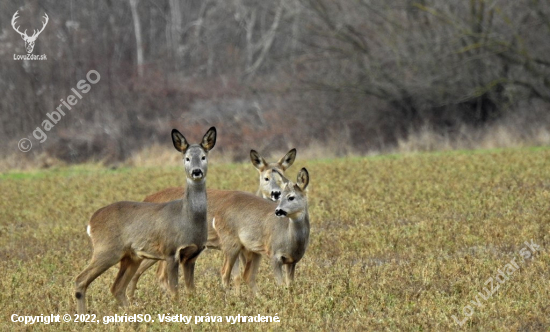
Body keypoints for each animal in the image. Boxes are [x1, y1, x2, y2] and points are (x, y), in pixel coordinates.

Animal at [74, 127, 217, 314]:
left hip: (131, 256)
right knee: (81, 280)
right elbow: (175, 291)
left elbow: (191, 290)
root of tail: (91, 222)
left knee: (116, 287)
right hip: (106, 249)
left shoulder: (192, 255)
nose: (196, 172)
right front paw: (177, 310)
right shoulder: (170, 251)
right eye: (186, 158)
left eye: (203, 157)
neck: (187, 219)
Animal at [126, 149, 298, 296]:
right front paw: (237, 298)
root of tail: (147, 198)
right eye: (265, 178)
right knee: (152, 273)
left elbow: (245, 275)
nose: (276, 194)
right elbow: (237, 276)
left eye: (283, 178)